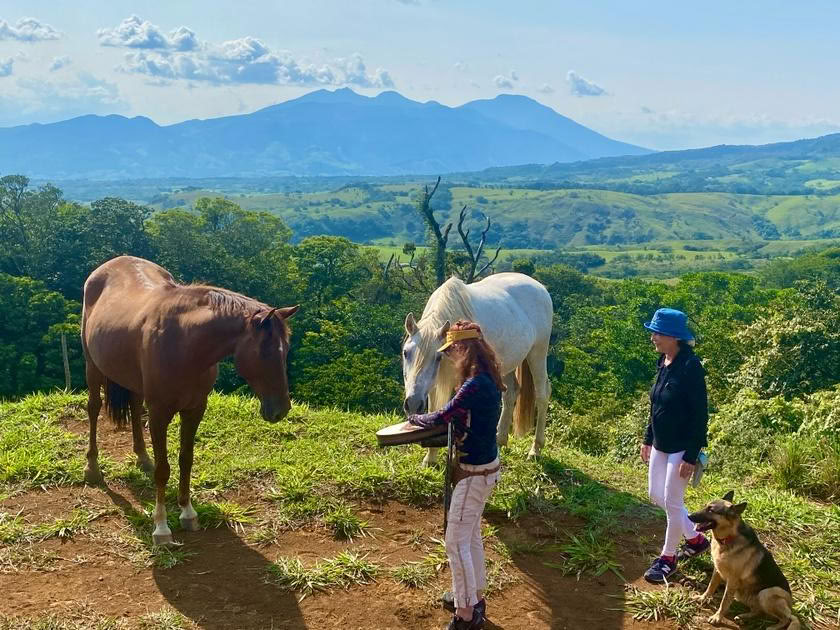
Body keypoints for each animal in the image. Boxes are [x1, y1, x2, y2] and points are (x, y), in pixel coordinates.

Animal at [81, 255, 298, 545]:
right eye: (265, 352)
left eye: (286, 350)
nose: (280, 410)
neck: (184, 343)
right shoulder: (159, 412)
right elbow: (164, 470)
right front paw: (161, 527)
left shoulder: (195, 409)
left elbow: (186, 459)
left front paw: (187, 512)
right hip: (92, 366)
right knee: (93, 408)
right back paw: (92, 467)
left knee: (135, 407)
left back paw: (142, 457)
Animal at [402, 272, 553, 466]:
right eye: (406, 353)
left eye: (437, 357)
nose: (412, 404)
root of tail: (539, 287)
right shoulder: (433, 383)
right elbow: (434, 409)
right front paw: (430, 458)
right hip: (506, 364)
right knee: (511, 393)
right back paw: (500, 440)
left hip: (538, 354)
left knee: (542, 394)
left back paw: (535, 449)